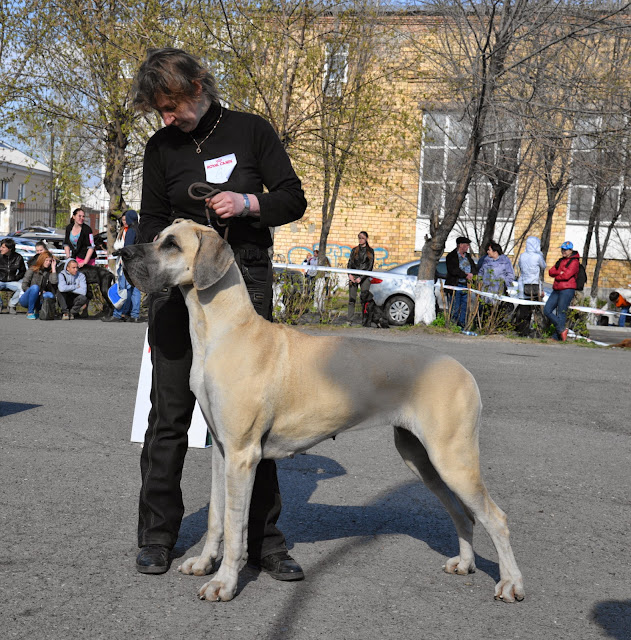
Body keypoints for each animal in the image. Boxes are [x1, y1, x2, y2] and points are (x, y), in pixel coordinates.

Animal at [121, 220, 524, 604]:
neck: (224, 331)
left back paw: (510, 584)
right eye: (158, 236)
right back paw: (466, 564)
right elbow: (216, 519)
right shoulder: (222, 453)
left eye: (171, 244)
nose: (124, 253)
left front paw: (224, 583)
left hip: (452, 459)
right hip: (421, 459)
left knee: (497, 518)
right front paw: (205, 564)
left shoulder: (242, 455)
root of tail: (463, 370)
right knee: (464, 514)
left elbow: (236, 529)